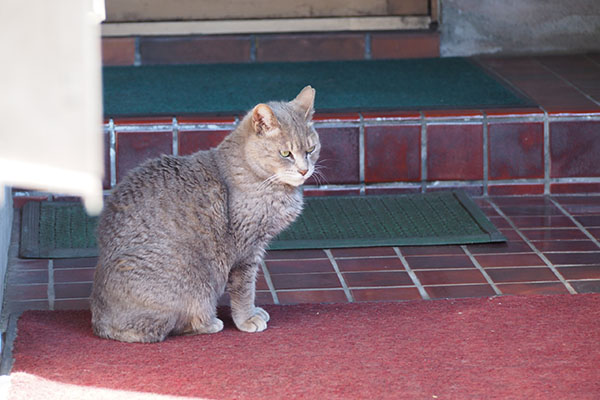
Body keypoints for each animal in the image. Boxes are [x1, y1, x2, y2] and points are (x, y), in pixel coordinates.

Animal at [89, 86, 322, 342]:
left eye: (311, 150)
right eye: (286, 153)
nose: (304, 170)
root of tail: (100, 323)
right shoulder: (246, 252)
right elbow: (245, 290)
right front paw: (247, 318)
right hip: (194, 280)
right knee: (165, 326)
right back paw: (211, 322)